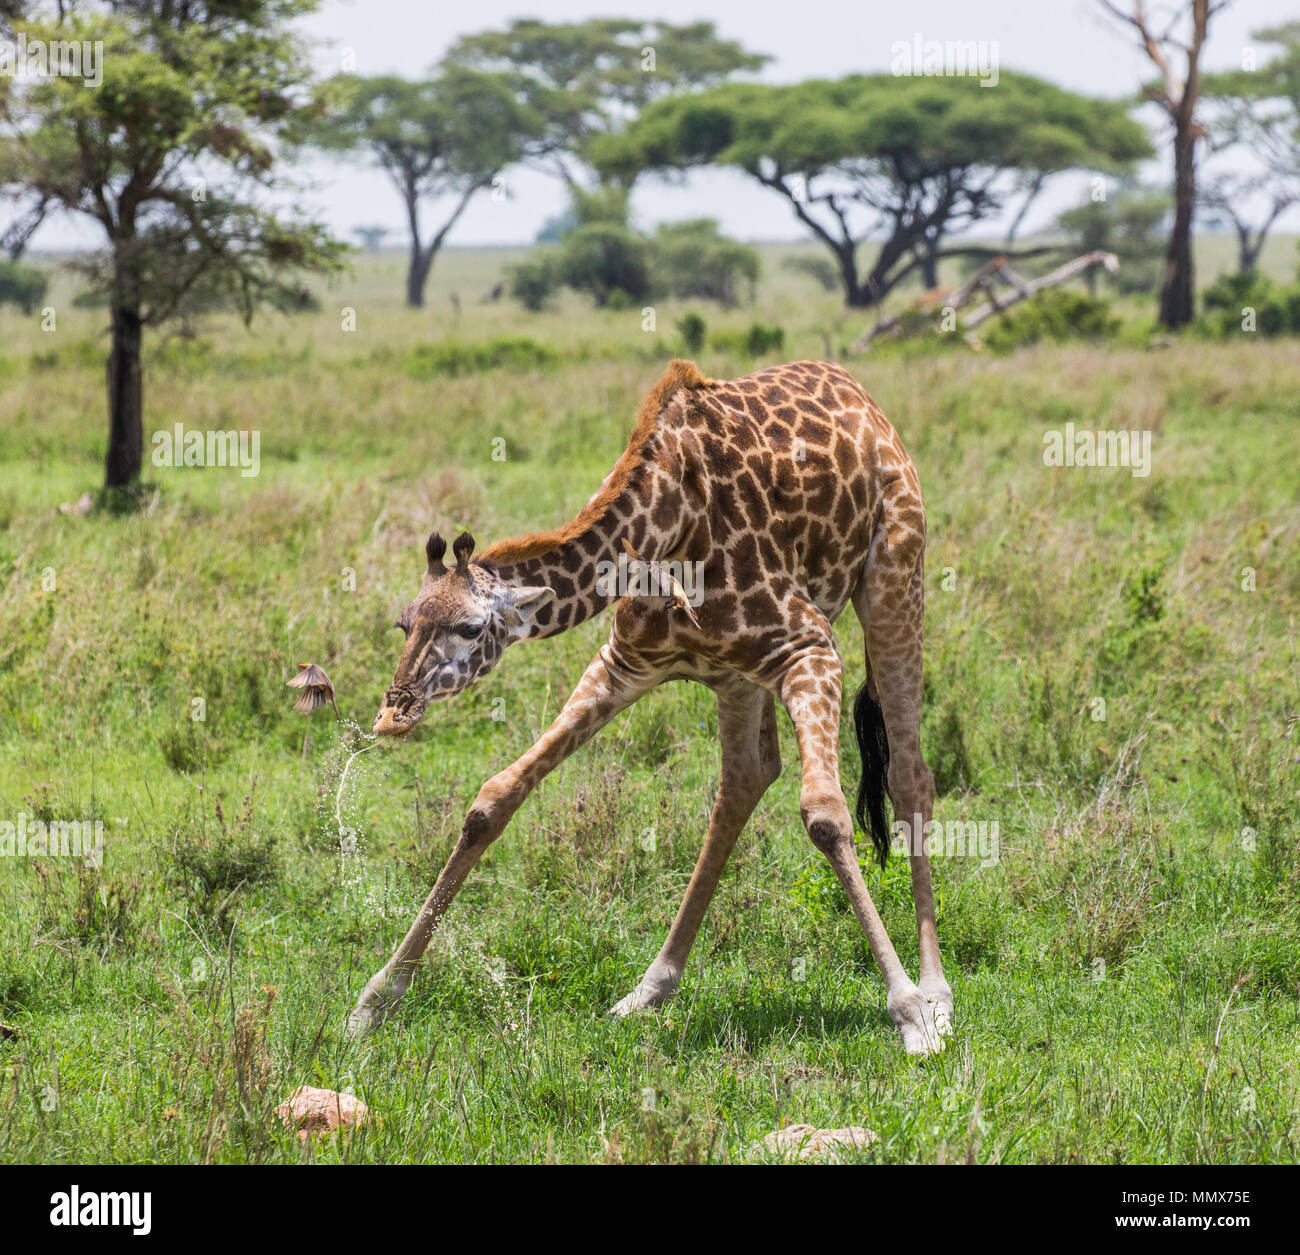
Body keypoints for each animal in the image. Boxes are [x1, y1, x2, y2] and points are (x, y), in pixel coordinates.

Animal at [353, 356, 956, 1050]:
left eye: (472, 628)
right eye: (404, 624)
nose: (392, 714)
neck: (668, 524)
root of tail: (864, 398)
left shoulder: (810, 647)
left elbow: (826, 816)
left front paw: (909, 1010)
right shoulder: (625, 663)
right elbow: (494, 798)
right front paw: (376, 998)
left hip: (895, 575)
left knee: (910, 775)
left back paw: (938, 994)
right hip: (738, 678)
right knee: (744, 780)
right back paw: (648, 989)